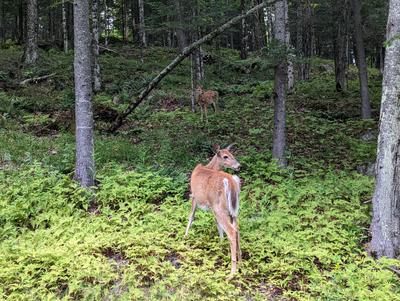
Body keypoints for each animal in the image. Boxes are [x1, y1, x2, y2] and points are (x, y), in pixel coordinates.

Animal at [184, 144, 241, 276]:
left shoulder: (194, 196)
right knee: (237, 228)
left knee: (231, 230)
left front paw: (185, 236)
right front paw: (220, 243)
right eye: (226, 156)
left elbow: (191, 216)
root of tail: (231, 182)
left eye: (232, 154)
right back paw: (240, 260)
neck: (208, 167)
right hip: (232, 209)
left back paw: (232, 272)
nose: (238, 165)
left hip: (219, 207)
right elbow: (217, 224)